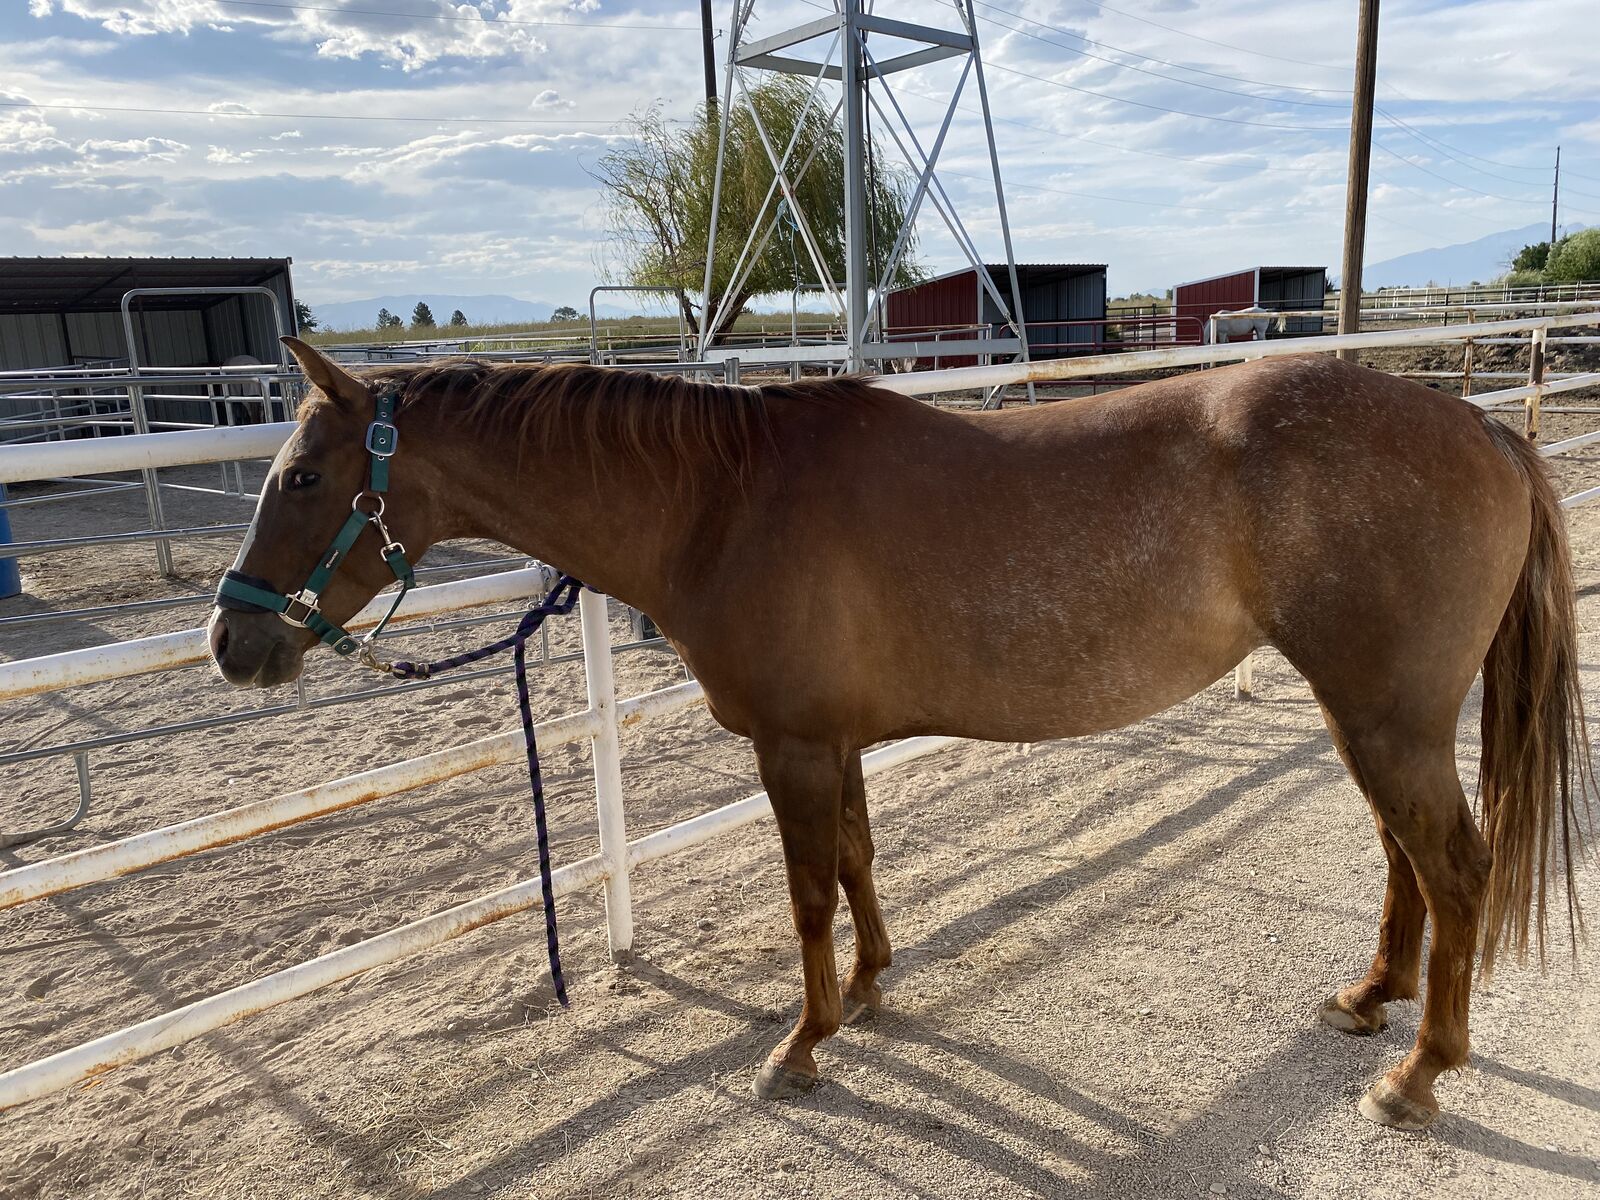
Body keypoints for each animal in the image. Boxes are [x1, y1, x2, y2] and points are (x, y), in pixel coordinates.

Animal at [208, 336, 1591, 1131]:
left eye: (303, 478)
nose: (233, 644)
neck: (720, 501)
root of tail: (1479, 425)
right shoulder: (835, 743)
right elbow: (859, 865)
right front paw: (872, 990)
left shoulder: (791, 748)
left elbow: (807, 894)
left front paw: (801, 1046)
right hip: (1368, 713)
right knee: (1406, 861)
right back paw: (1370, 999)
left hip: (1389, 717)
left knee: (1453, 866)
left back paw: (1420, 1073)